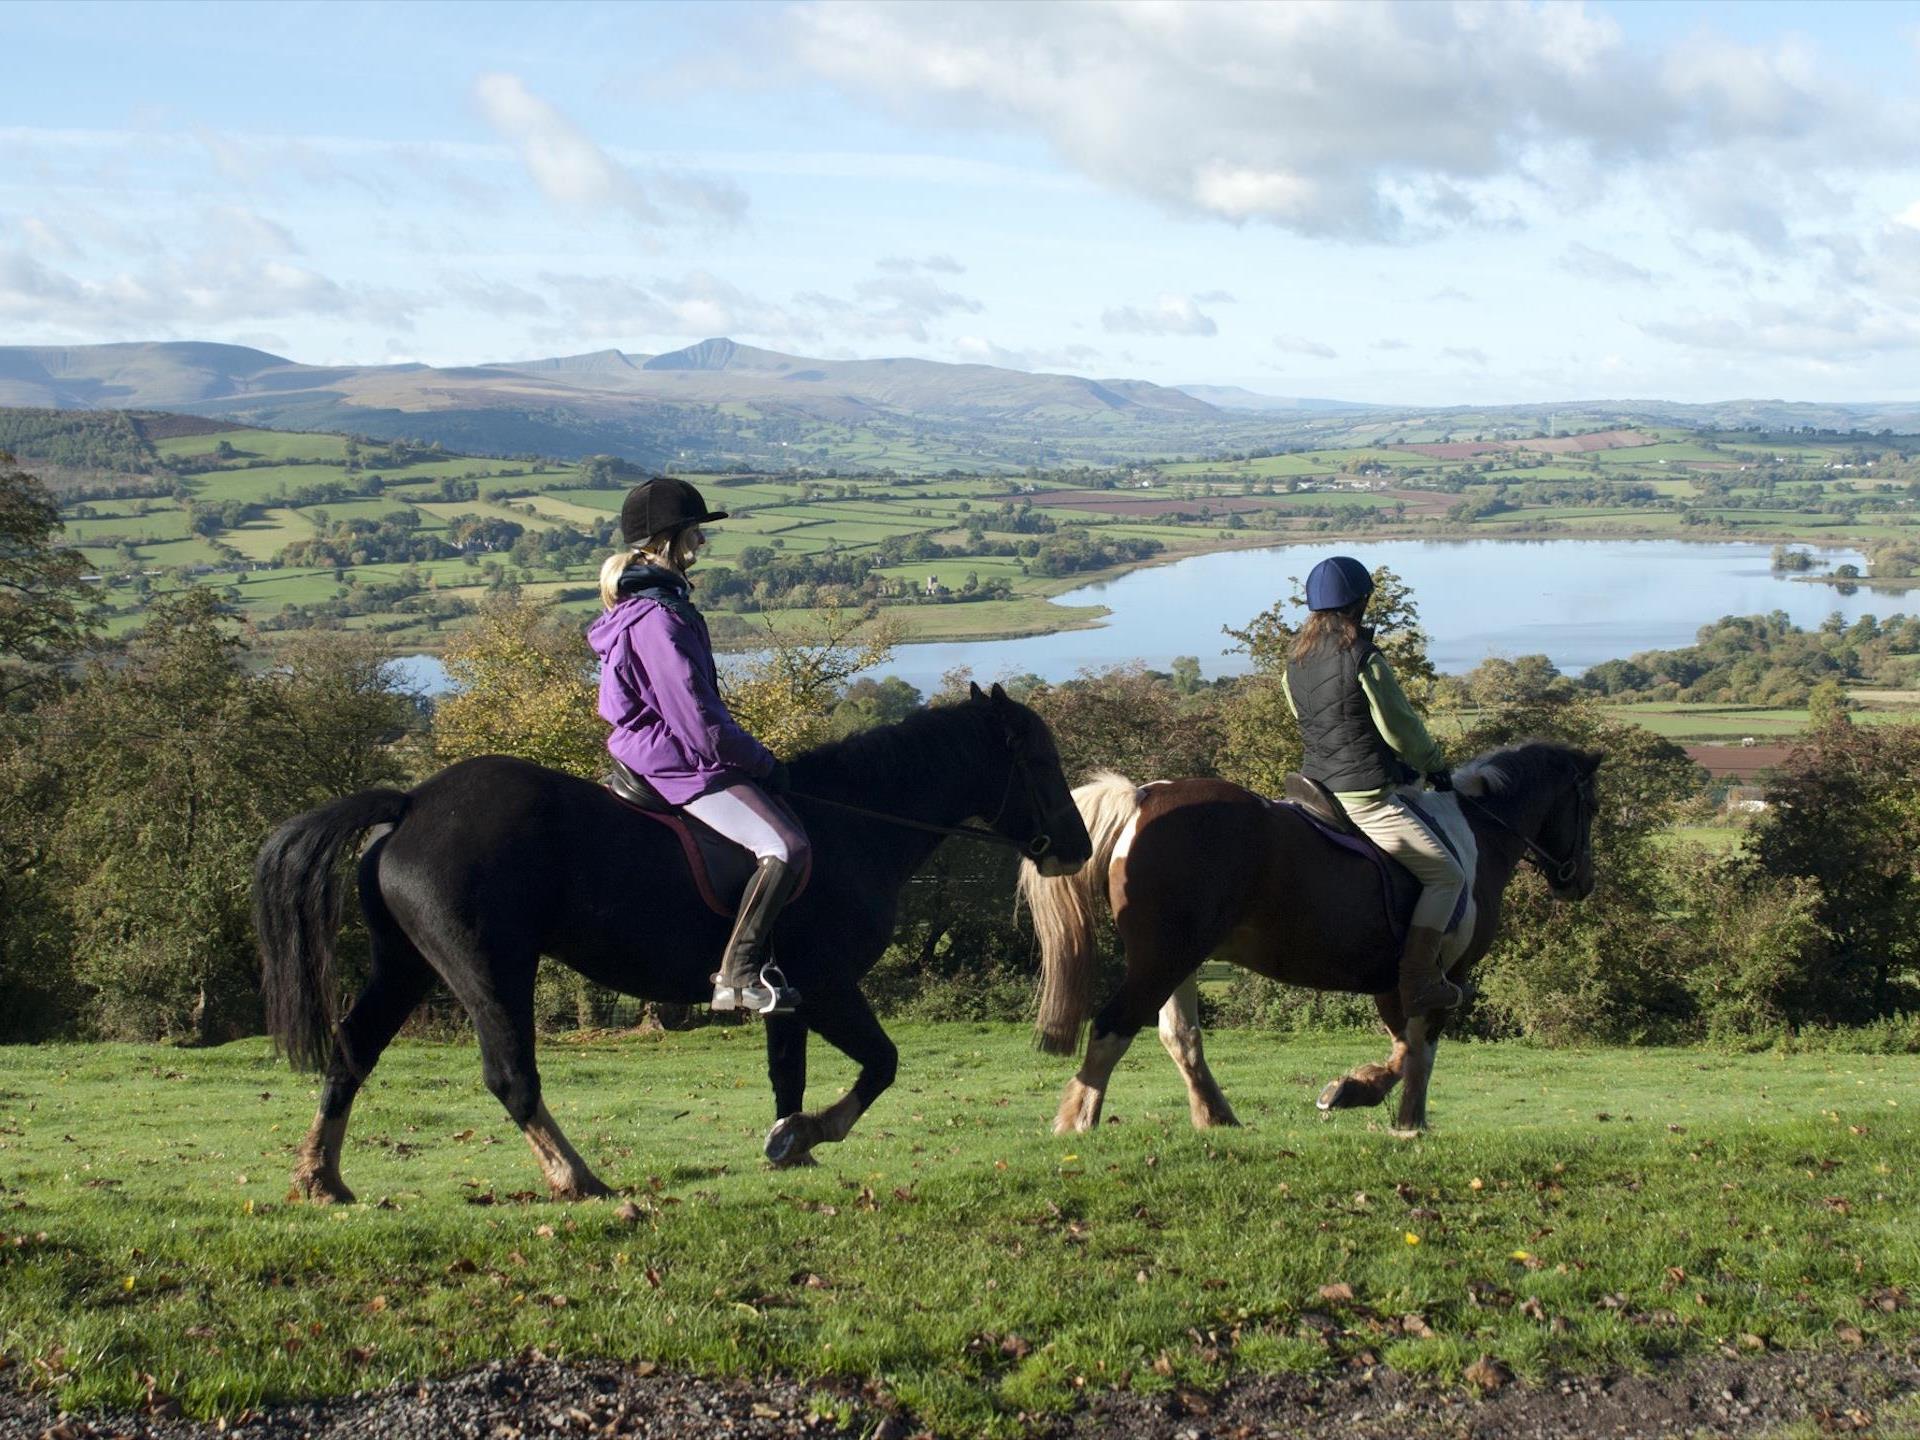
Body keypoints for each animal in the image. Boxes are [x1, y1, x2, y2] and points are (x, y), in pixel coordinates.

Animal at [257, 687, 1090, 1205]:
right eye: (1040, 763)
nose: (1076, 850)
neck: (855, 822)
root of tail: (411, 803)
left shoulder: (791, 996)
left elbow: (787, 1073)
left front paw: (792, 1143)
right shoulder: (827, 986)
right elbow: (881, 1065)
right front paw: (810, 1133)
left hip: (405, 965)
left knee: (352, 1052)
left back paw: (320, 1178)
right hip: (489, 968)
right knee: (509, 1075)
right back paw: (577, 1179)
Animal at [1021, 744, 1605, 1136]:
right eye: (1591, 808)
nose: (1580, 881)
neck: (1475, 834)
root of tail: (1144, 797)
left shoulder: (1391, 981)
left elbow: (1405, 1046)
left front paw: (1366, 1096)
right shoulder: (1441, 975)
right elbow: (1418, 1049)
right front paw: (1399, 1116)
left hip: (1179, 959)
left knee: (1179, 1037)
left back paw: (1216, 1118)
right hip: (1164, 957)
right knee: (1114, 1026)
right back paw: (1077, 1120)